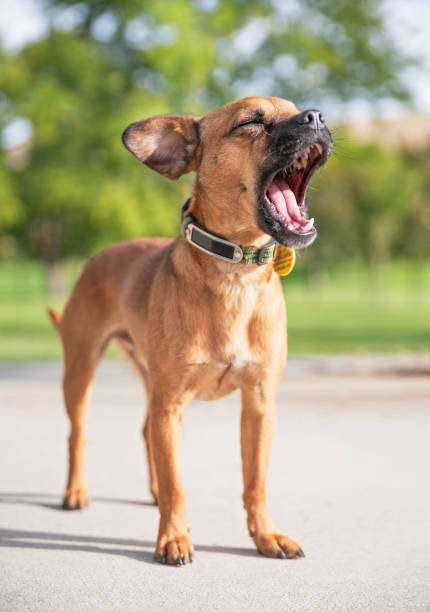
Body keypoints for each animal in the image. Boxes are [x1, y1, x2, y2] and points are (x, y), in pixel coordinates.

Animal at [49, 94, 332, 564]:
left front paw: (266, 536)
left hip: (150, 387)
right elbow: (177, 483)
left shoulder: (259, 406)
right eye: (251, 122)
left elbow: (254, 482)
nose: (317, 116)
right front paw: (173, 537)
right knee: (78, 434)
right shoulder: (171, 406)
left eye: (296, 108)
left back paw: (150, 492)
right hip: (81, 373)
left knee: (145, 434)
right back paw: (75, 492)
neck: (236, 276)